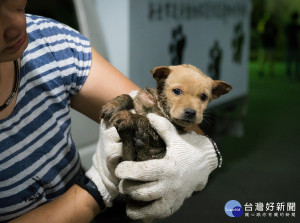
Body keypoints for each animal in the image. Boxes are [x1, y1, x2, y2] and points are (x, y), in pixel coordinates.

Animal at [101, 63, 232, 161]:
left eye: (204, 97)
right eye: (177, 91)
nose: (191, 112)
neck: (160, 107)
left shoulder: (158, 138)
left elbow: (145, 119)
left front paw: (129, 117)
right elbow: (129, 98)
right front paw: (114, 105)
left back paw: (140, 141)